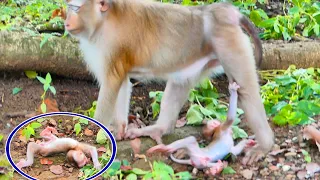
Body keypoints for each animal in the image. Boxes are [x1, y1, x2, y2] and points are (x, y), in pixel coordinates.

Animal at [63, 0, 274, 164]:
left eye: (75, 8)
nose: (66, 22)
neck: (104, 21)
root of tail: (223, 11)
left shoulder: (110, 46)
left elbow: (111, 83)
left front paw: (96, 133)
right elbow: (121, 83)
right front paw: (120, 129)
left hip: (230, 43)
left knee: (246, 90)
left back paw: (265, 145)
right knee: (181, 81)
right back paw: (159, 128)